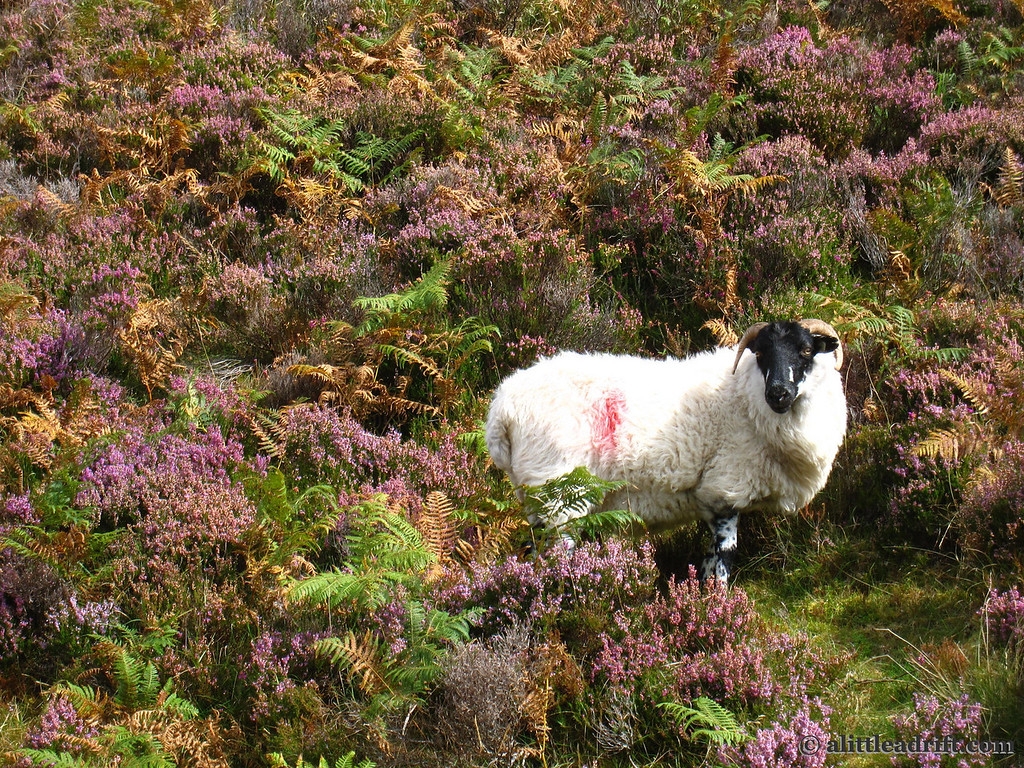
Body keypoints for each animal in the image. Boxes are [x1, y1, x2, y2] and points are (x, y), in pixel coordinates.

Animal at [484, 320, 847, 584]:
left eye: (806, 350)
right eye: (760, 354)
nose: (778, 393)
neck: (745, 396)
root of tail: (502, 409)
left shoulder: (713, 500)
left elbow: (709, 561)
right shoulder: (725, 489)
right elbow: (724, 559)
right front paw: (717, 607)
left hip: (539, 496)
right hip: (557, 493)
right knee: (549, 559)